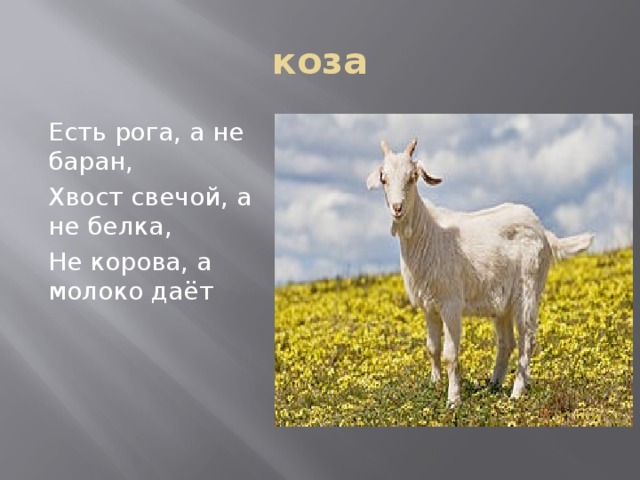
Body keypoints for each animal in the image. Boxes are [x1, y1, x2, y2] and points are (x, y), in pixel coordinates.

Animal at [366, 138, 593, 406]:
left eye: (412, 177)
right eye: (383, 178)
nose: (397, 208)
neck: (429, 233)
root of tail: (545, 232)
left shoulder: (451, 303)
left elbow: (450, 354)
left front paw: (453, 400)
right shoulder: (428, 306)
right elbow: (432, 348)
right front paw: (435, 386)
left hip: (529, 289)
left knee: (527, 339)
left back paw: (516, 392)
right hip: (503, 304)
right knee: (506, 342)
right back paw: (493, 385)